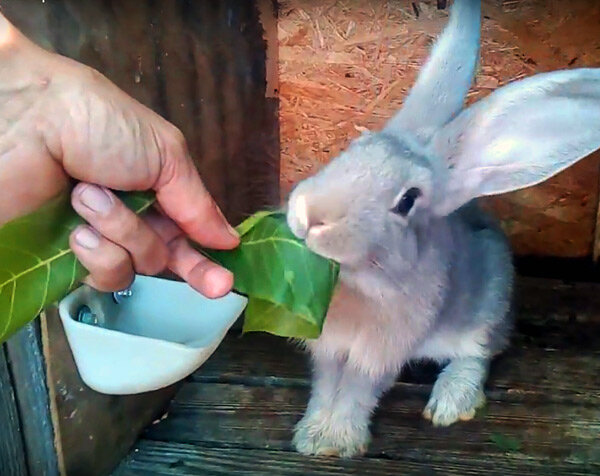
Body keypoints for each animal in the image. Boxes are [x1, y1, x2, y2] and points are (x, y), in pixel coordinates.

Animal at [284, 0, 600, 460]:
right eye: (352, 149)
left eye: (408, 200)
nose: (309, 215)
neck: (360, 282)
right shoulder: (328, 348)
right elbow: (325, 387)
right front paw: (311, 437)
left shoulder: (381, 352)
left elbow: (358, 391)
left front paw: (336, 441)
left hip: (486, 310)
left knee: (479, 354)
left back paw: (452, 403)